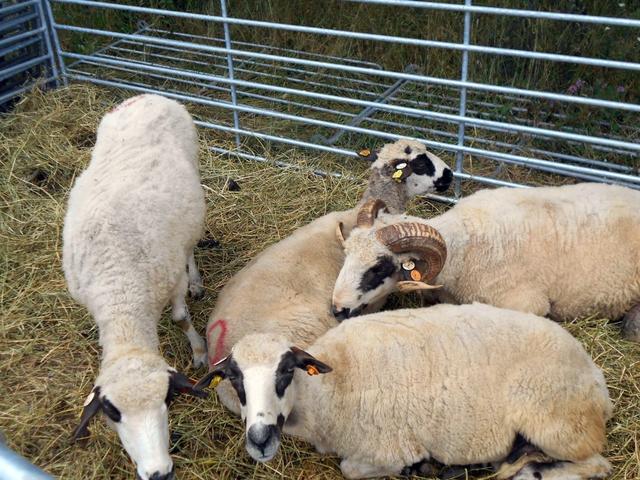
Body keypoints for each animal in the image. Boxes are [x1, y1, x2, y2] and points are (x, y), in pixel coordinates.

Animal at [62, 94, 208, 480]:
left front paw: (199, 351)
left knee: (190, 245)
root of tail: (144, 96)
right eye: (113, 412)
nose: (159, 473)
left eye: (168, 399)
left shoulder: (170, 279)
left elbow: (180, 319)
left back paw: (197, 281)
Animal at [196, 302, 612, 480]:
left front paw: (417, 467)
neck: (325, 392)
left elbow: (349, 469)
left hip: (560, 424)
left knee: (597, 466)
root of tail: (594, 374)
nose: (260, 439)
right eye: (234, 378)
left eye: (286, 371)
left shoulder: (387, 449)